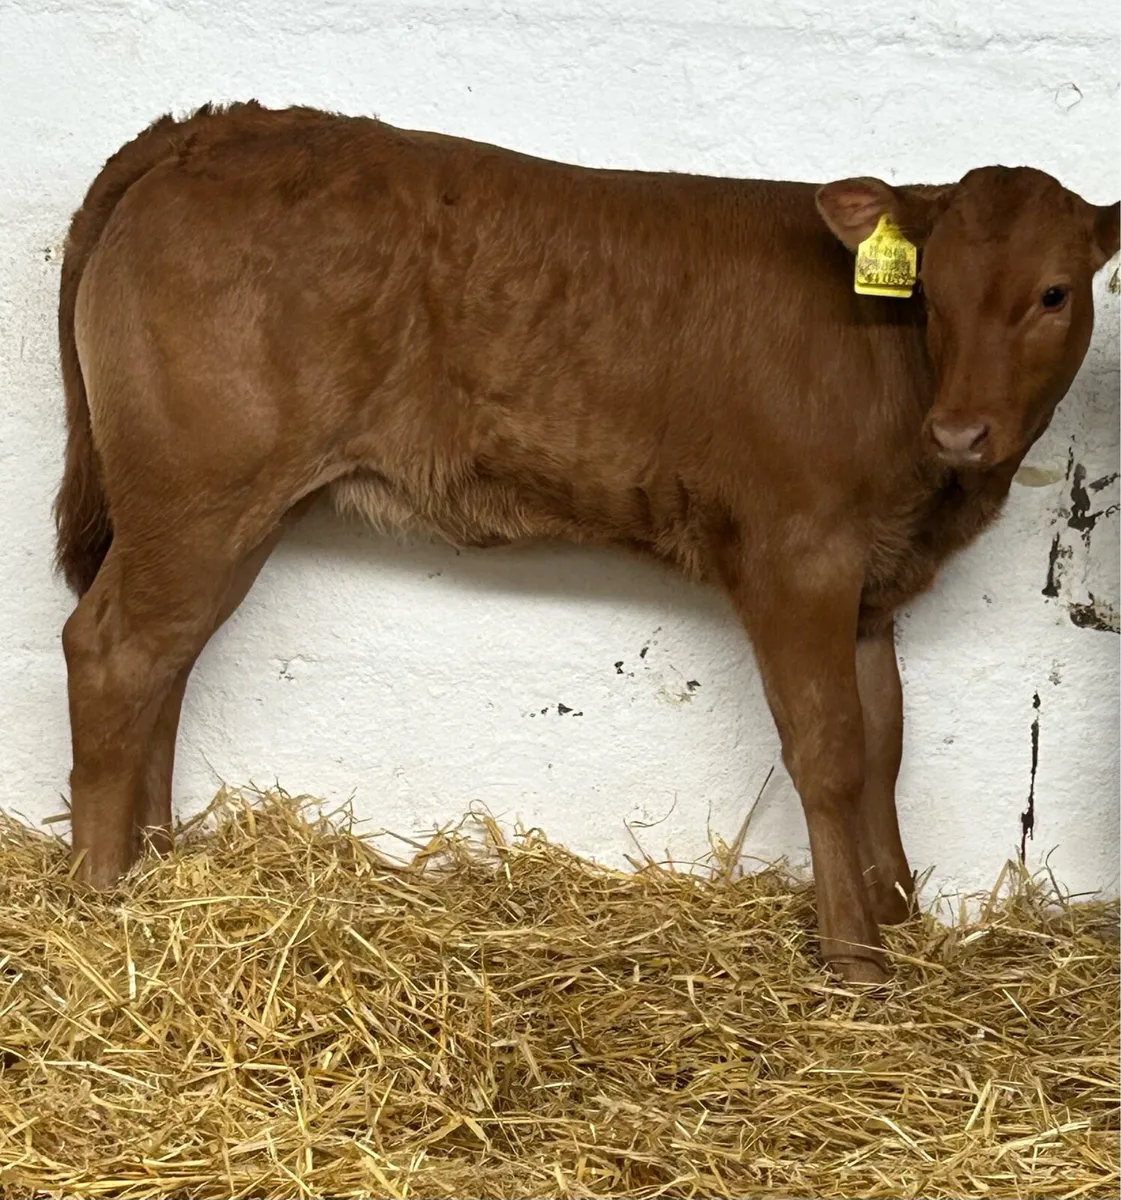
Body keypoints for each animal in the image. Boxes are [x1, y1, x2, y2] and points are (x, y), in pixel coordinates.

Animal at [54, 101, 1119, 983]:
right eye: (929, 291)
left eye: (1055, 293)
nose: (960, 430)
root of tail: (211, 129)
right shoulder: (797, 557)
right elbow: (830, 751)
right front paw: (856, 958)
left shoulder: (869, 587)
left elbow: (887, 740)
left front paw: (898, 916)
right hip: (200, 487)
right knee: (111, 651)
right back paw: (99, 898)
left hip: (225, 512)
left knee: (164, 661)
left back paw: (153, 867)